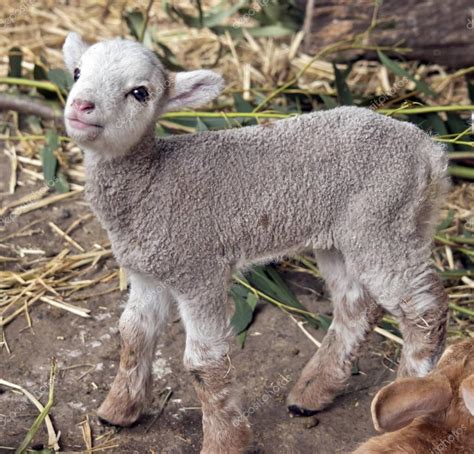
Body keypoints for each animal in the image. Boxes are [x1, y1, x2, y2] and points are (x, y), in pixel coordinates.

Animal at [64, 32, 452, 454]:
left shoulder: (198, 270)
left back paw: (407, 396)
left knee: (424, 310)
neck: (152, 179)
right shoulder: (146, 274)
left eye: (140, 92)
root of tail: (429, 150)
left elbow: (204, 362)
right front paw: (118, 410)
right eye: (77, 72)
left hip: (384, 223)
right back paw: (312, 392)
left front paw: (224, 441)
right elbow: (132, 334)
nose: (81, 105)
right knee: (357, 307)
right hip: (345, 236)